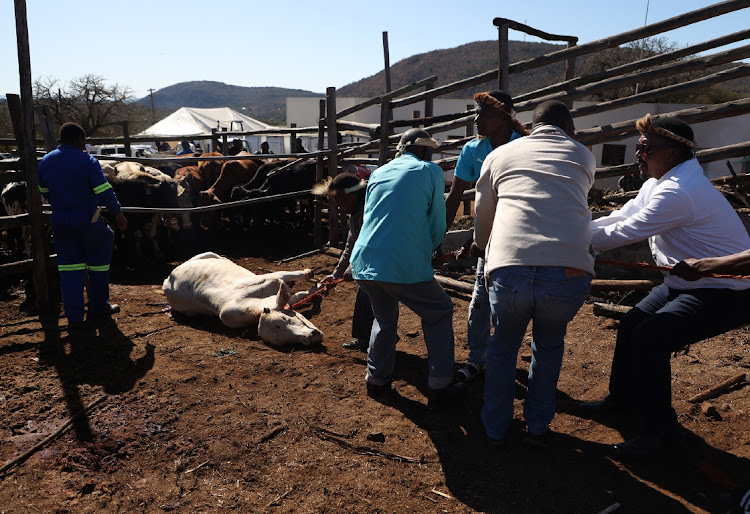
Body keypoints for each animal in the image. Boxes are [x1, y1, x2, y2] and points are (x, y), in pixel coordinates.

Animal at [164, 251, 324, 346]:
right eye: (283, 340)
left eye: (285, 319)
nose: (312, 336)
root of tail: (167, 280)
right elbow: (298, 295)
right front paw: (317, 287)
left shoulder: (268, 278)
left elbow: (292, 278)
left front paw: (314, 278)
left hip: (207, 254)